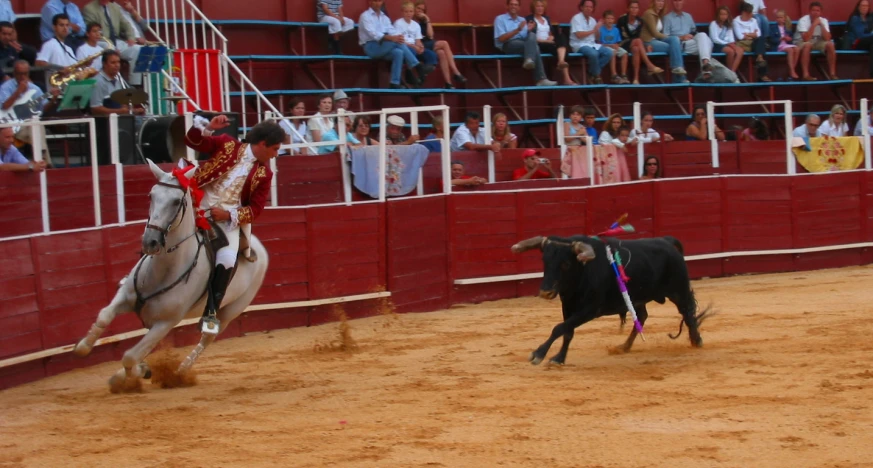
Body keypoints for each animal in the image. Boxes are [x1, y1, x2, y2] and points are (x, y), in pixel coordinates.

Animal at [73, 159, 268, 390]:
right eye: (151, 195)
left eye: (176, 202)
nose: (150, 242)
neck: (163, 270)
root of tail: (258, 246)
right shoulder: (125, 297)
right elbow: (104, 317)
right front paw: (83, 346)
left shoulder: (166, 323)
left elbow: (129, 356)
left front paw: (136, 373)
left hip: (231, 310)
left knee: (207, 338)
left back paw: (179, 372)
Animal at [510, 234, 708, 366]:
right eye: (544, 261)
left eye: (565, 264)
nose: (546, 292)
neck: (582, 272)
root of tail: (667, 241)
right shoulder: (568, 306)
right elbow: (567, 331)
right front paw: (559, 358)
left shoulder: (590, 309)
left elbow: (559, 328)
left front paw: (538, 354)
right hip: (637, 299)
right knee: (641, 317)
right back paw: (624, 346)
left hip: (678, 291)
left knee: (688, 313)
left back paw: (696, 341)